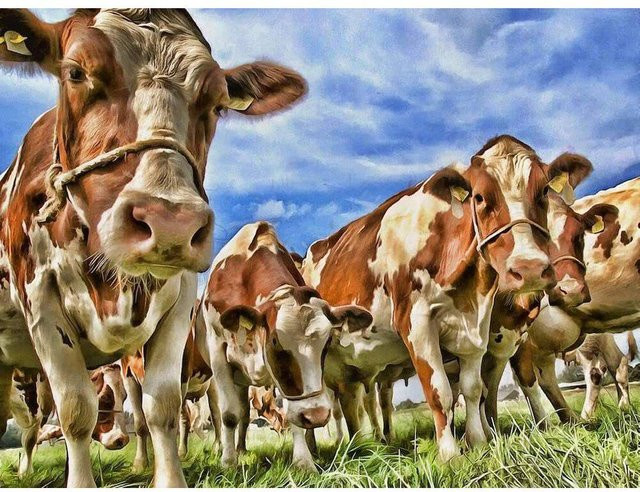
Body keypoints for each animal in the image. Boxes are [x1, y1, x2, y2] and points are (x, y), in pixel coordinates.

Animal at [0, 8, 306, 486]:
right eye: (75, 73)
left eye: (218, 103)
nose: (170, 223)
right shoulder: (41, 302)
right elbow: (76, 411)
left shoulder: (179, 300)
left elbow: (162, 408)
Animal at [196, 221, 372, 470]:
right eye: (275, 342)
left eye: (327, 342)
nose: (316, 416)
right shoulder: (218, 352)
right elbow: (229, 414)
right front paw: (228, 463)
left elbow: (291, 414)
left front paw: (304, 461)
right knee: (239, 412)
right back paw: (238, 450)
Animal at [301, 135, 593, 460]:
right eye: (479, 197)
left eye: (542, 191)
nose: (528, 268)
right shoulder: (416, 323)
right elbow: (440, 391)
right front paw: (451, 455)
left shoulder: (479, 328)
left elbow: (473, 388)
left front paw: (478, 442)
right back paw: (315, 455)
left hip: (350, 367)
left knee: (353, 402)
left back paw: (362, 447)